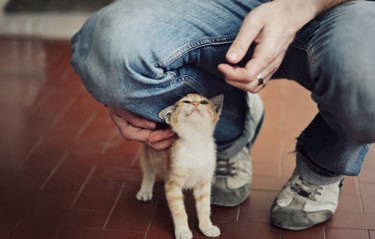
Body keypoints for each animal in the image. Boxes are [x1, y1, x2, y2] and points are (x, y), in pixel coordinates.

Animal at [136, 93, 223, 239]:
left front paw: (206, 227)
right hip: (148, 153)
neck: (196, 142)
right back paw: (145, 191)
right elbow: (179, 212)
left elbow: (205, 208)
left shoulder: (203, 183)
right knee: (148, 172)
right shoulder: (173, 185)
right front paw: (183, 231)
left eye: (204, 102)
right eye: (186, 101)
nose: (195, 104)